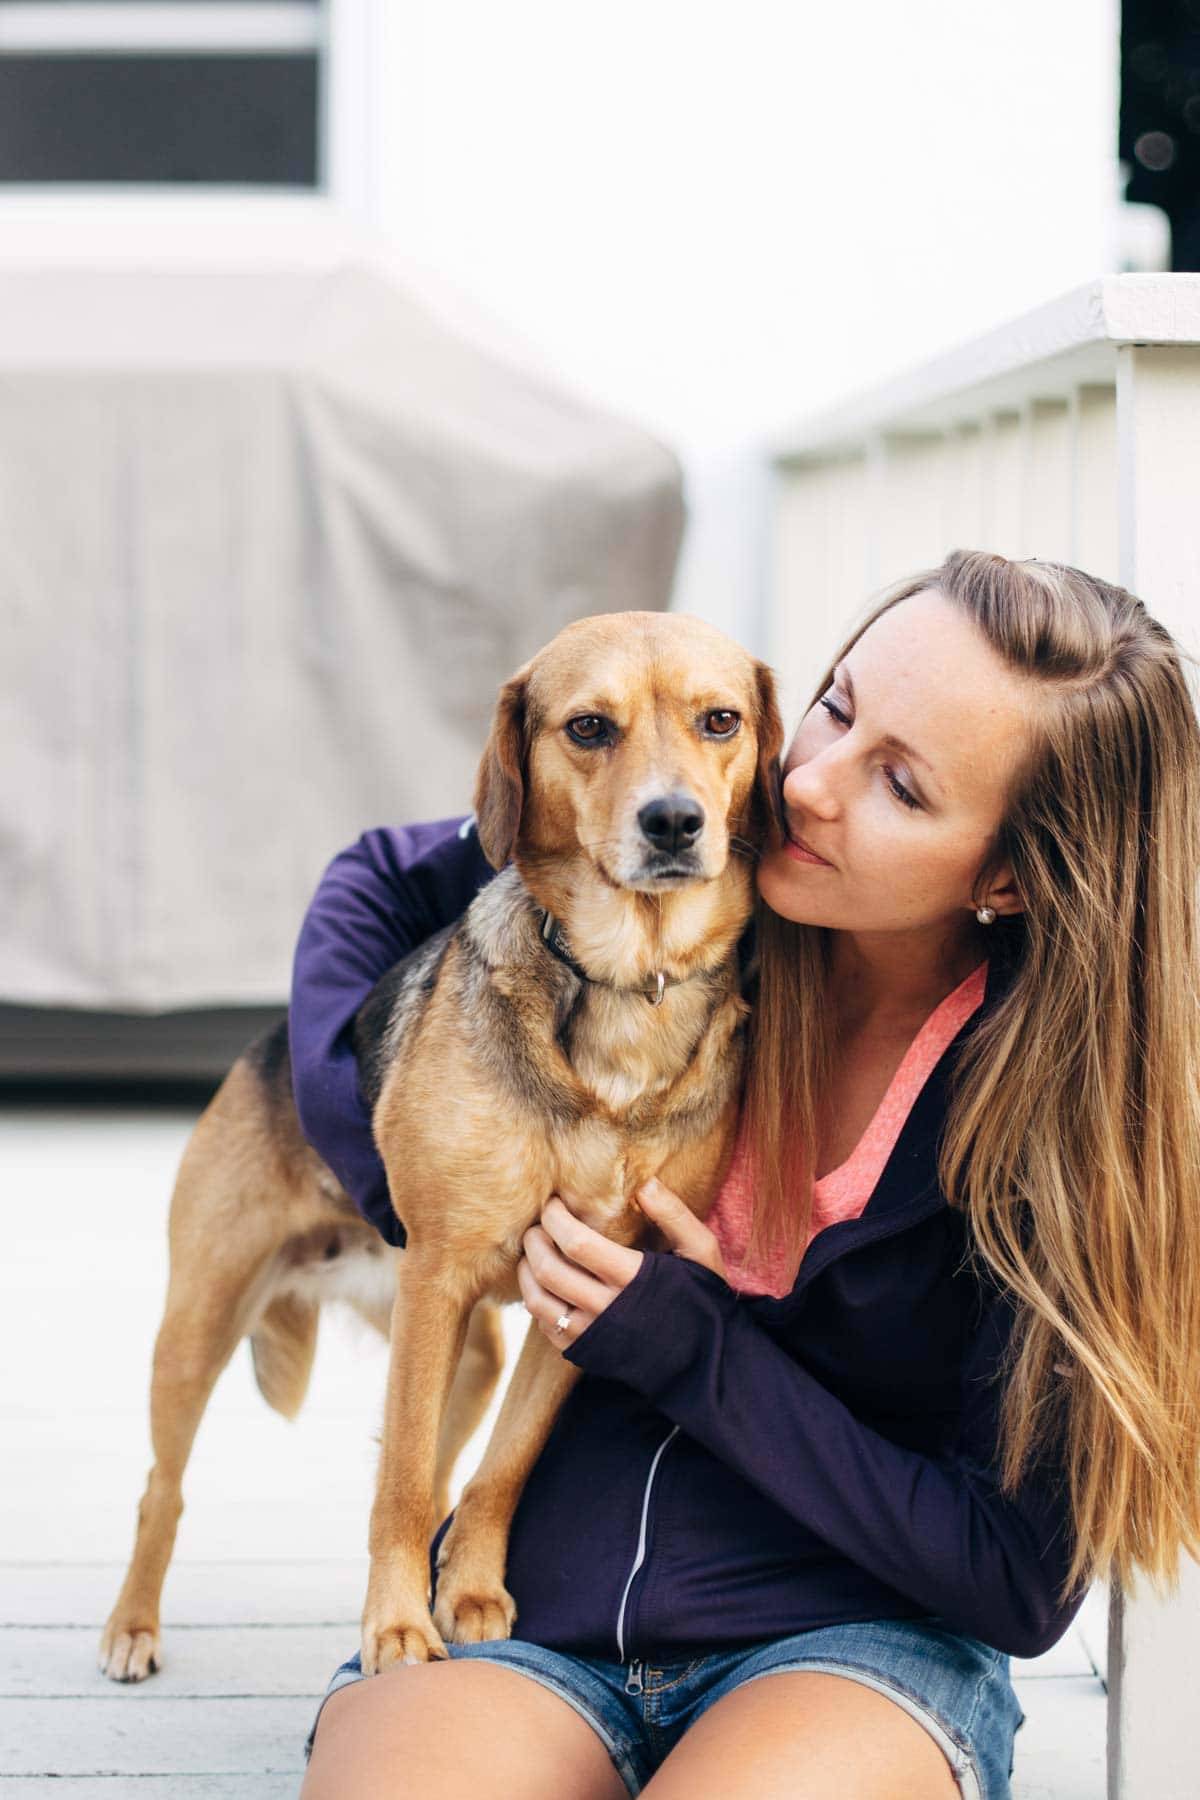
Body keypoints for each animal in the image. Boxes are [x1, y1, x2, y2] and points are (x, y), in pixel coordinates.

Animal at [98, 608, 784, 1684]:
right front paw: (395, 1630)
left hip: (466, 1355)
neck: (623, 987)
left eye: (721, 720)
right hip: (203, 1324)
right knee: (165, 1488)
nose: (674, 822)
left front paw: (467, 1593)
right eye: (588, 729)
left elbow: (500, 1469)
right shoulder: (441, 1277)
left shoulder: (587, 1295)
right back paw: (133, 1624)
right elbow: (403, 1490)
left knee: (426, 1460)